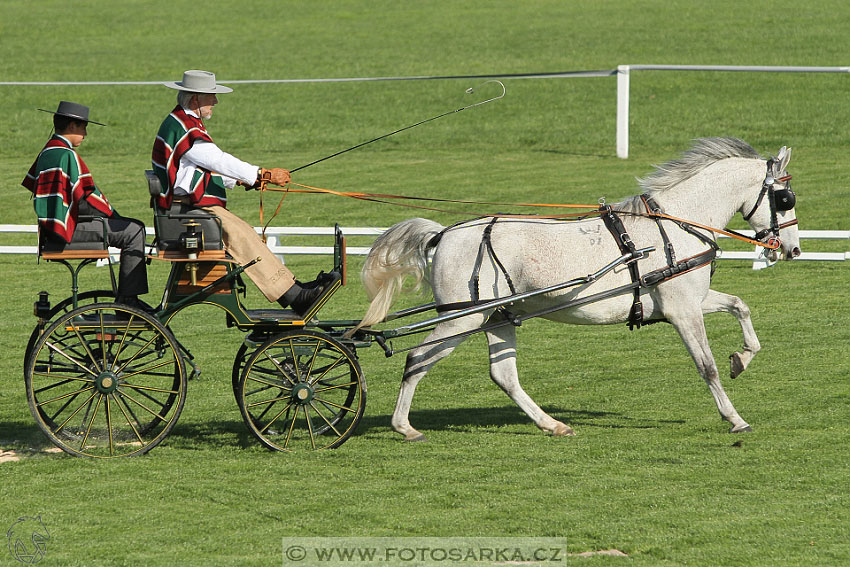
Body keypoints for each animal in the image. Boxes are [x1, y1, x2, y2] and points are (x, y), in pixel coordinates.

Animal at [354, 140, 800, 442]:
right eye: (784, 197)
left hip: (498, 317)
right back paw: (404, 427)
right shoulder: (682, 311)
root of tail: (443, 234)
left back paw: (551, 424)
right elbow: (705, 366)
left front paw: (741, 359)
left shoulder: (690, 301)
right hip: (463, 317)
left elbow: (740, 307)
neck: (674, 226)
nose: (792, 250)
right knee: (416, 358)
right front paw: (734, 418)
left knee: (503, 374)